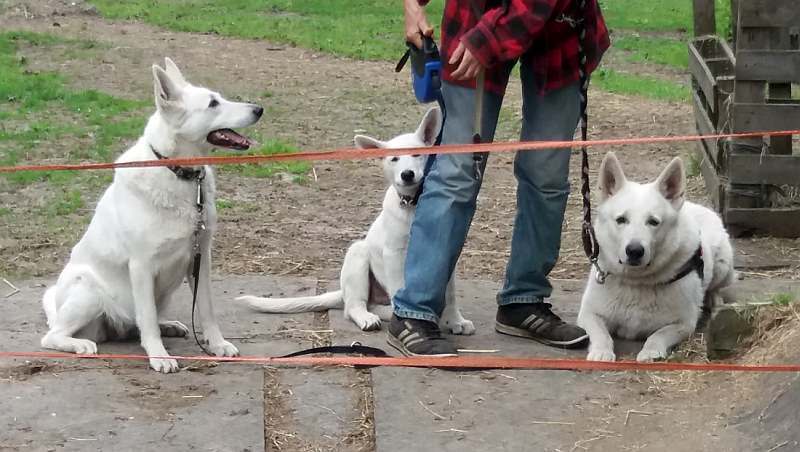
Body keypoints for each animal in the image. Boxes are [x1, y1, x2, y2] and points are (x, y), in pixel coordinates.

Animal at [41, 57, 262, 370]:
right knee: (53, 335)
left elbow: (206, 310)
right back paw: (81, 344)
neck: (178, 173)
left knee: (142, 323)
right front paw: (159, 356)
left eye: (219, 98)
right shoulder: (141, 266)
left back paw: (167, 325)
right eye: (212, 104)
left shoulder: (201, 260)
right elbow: (147, 318)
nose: (259, 109)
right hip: (88, 291)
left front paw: (217, 344)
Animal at [238, 107, 476, 336]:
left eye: (418, 154)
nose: (407, 174)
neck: (412, 204)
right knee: (355, 305)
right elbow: (399, 287)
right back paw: (370, 317)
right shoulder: (394, 254)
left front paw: (456, 321)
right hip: (358, 256)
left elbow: (450, 295)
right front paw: (407, 318)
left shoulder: (444, 254)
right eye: (394, 159)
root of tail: (343, 292)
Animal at [580, 154, 736, 362]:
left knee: (715, 286)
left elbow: (658, 335)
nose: (634, 251)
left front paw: (651, 352)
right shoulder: (588, 313)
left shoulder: (684, 324)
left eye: (653, 222)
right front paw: (601, 351)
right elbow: (600, 333)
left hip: (723, 265)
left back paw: (714, 299)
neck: (636, 281)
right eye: (621, 220)